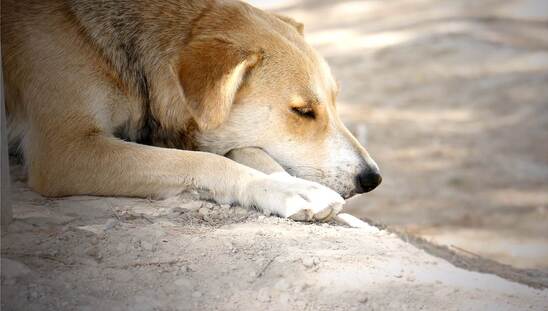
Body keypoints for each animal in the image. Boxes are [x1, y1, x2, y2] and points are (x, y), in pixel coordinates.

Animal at [3, 0, 382, 222]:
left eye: (335, 101)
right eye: (303, 111)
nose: (372, 179)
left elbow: (248, 152)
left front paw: (288, 184)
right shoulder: (65, 149)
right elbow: (205, 162)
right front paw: (285, 190)